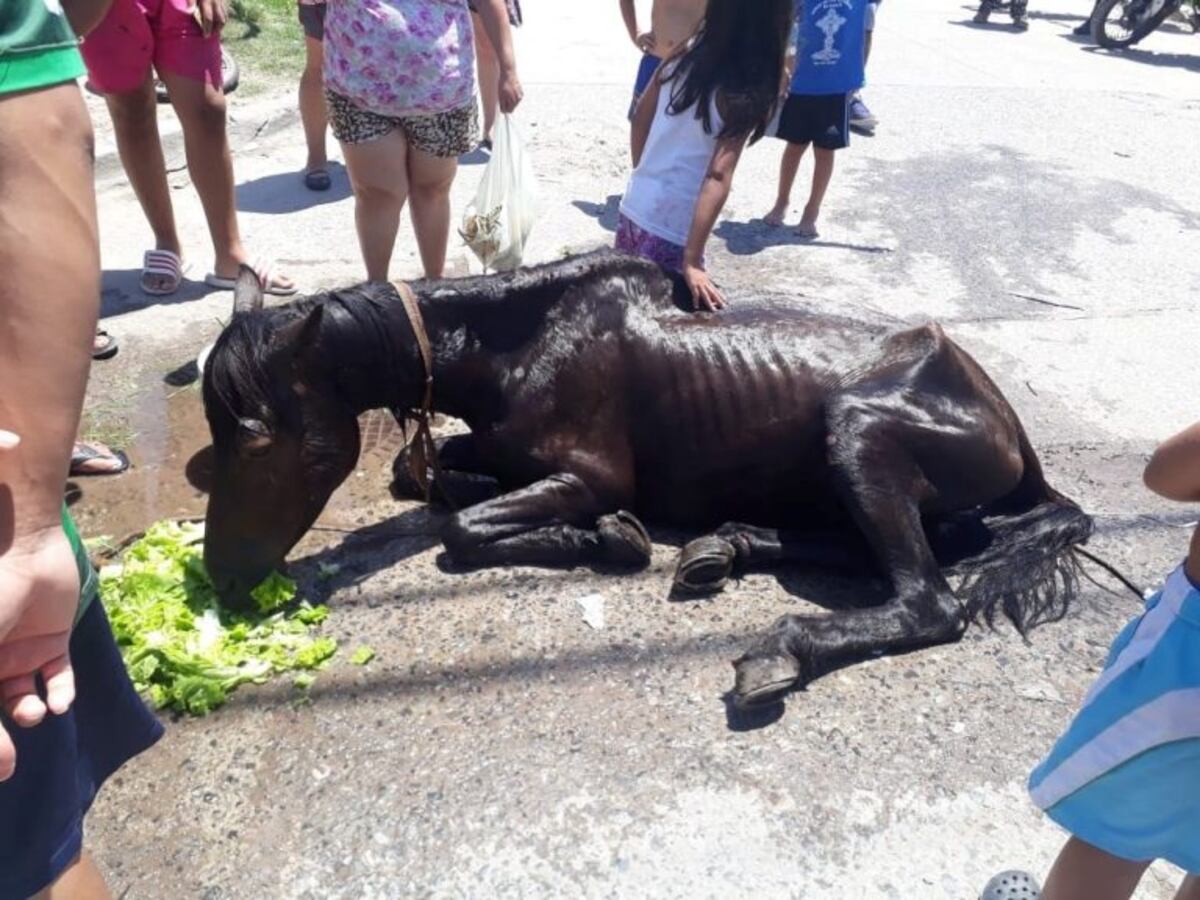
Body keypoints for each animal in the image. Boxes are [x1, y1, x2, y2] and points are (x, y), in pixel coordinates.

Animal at [201, 250, 1094, 708]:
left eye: (256, 442)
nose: (223, 578)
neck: (520, 345)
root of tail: (1006, 422)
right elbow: (423, 474)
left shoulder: (593, 474)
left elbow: (461, 526)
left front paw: (607, 538)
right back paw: (727, 546)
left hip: (860, 432)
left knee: (929, 599)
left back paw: (780, 646)